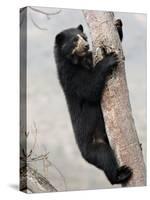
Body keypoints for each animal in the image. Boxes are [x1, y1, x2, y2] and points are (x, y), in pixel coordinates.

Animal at [54, 21, 132, 185]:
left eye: (84, 36)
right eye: (74, 40)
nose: (86, 45)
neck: (78, 61)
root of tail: (83, 155)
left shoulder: (89, 58)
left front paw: (118, 25)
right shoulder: (70, 76)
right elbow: (89, 88)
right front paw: (109, 59)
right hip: (94, 145)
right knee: (104, 156)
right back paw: (121, 174)